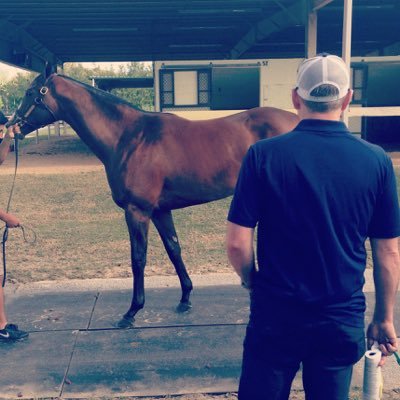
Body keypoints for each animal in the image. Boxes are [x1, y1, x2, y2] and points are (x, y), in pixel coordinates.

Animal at [8, 65, 300, 328]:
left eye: (31, 92)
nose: (11, 127)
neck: (129, 138)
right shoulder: (160, 210)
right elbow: (174, 249)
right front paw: (185, 298)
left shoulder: (137, 210)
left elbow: (138, 258)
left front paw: (131, 311)